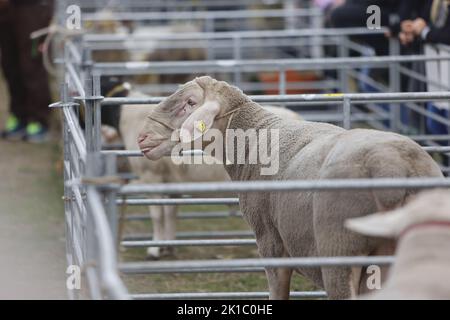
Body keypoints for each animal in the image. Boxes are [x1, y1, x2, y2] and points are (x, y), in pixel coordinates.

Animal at [119, 90, 302, 260]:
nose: (142, 139)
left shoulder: (151, 176)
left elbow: (157, 215)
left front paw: (154, 250)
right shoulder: (172, 183)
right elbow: (170, 213)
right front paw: (168, 247)